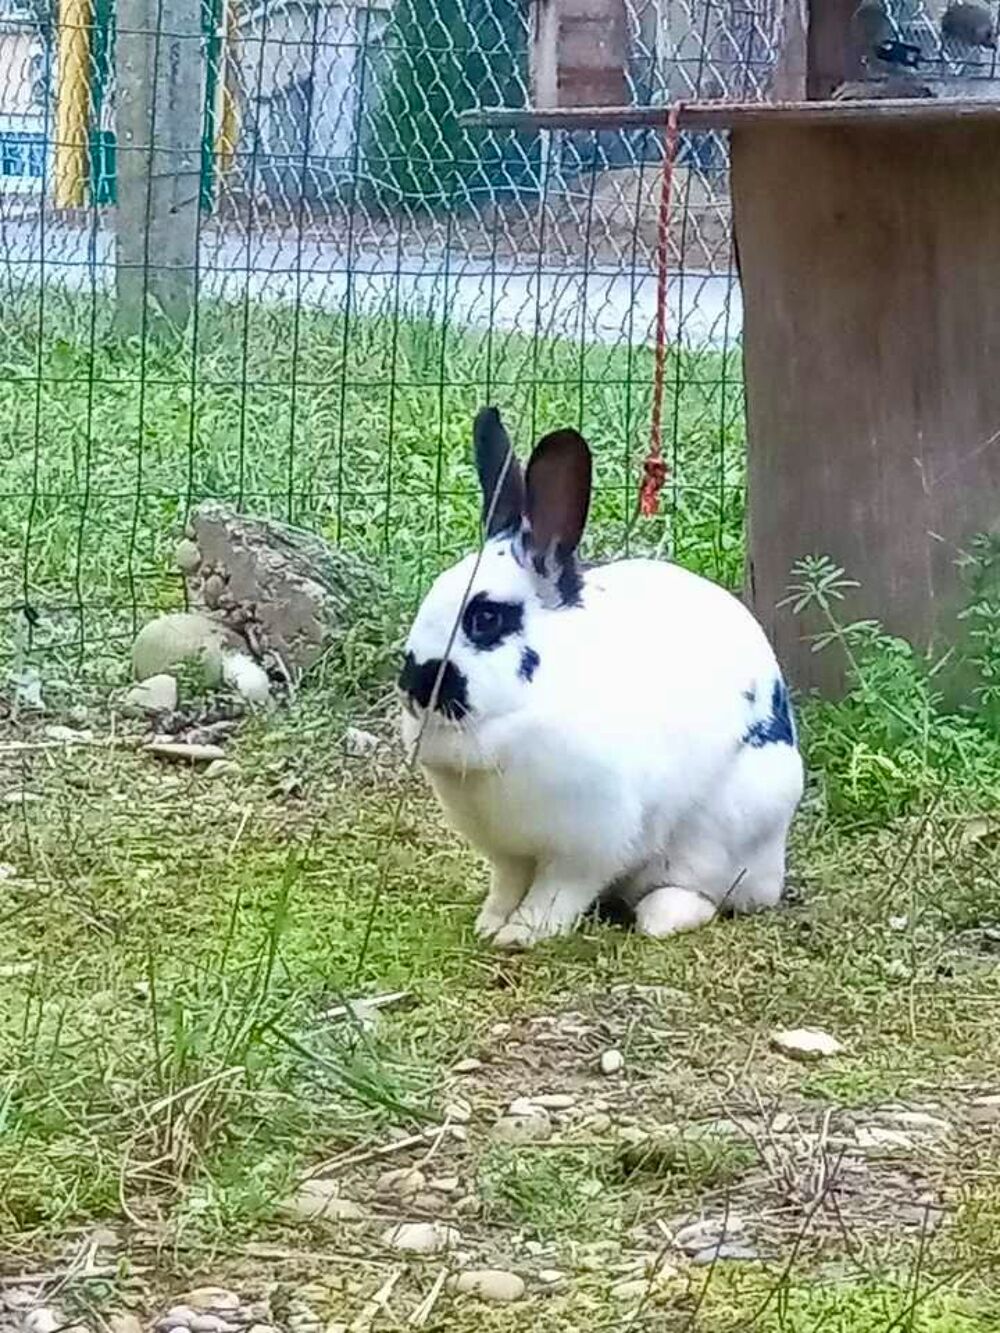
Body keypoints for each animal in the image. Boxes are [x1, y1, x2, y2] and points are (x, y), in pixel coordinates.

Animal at [398, 407, 804, 949]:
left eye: (485, 619)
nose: (415, 684)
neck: (507, 725)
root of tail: (773, 869)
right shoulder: (508, 855)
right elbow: (507, 885)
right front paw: (490, 925)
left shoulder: (586, 847)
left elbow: (555, 893)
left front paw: (521, 934)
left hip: (727, 829)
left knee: (709, 891)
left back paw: (661, 916)